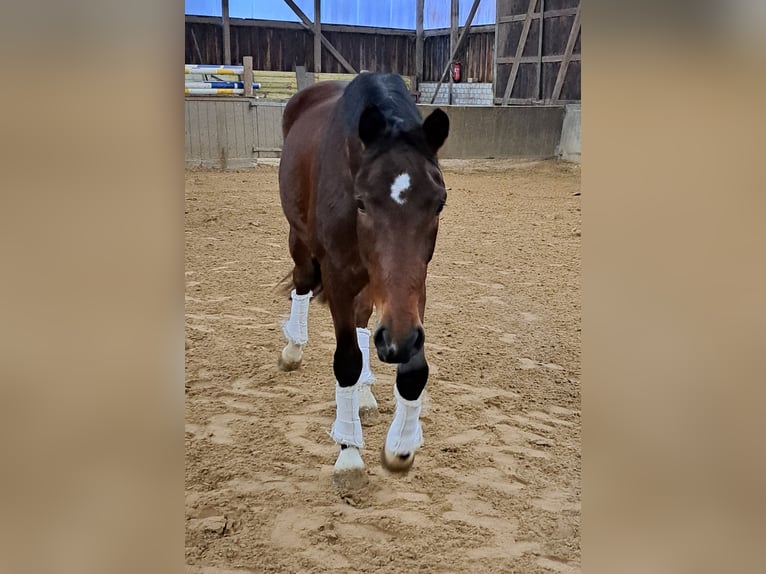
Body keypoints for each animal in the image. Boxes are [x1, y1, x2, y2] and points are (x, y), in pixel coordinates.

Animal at [278, 71, 450, 486]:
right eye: (361, 202)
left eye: (439, 203)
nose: (396, 342)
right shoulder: (338, 277)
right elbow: (346, 361)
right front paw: (349, 453)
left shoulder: (413, 288)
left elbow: (414, 370)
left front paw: (401, 447)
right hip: (301, 242)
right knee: (302, 283)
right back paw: (293, 349)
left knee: (361, 318)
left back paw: (366, 397)